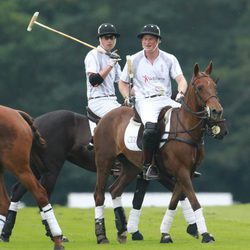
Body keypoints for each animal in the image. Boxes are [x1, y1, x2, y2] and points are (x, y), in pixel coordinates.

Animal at [93, 62, 227, 244]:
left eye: (214, 86)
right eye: (199, 88)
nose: (216, 111)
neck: (187, 129)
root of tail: (104, 118)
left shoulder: (187, 172)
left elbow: (175, 200)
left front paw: (165, 233)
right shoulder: (181, 170)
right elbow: (193, 200)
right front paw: (206, 235)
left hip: (131, 166)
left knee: (115, 190)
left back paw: (122, 231)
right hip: (104, 161)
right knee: (99, 194)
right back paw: (102, 236)